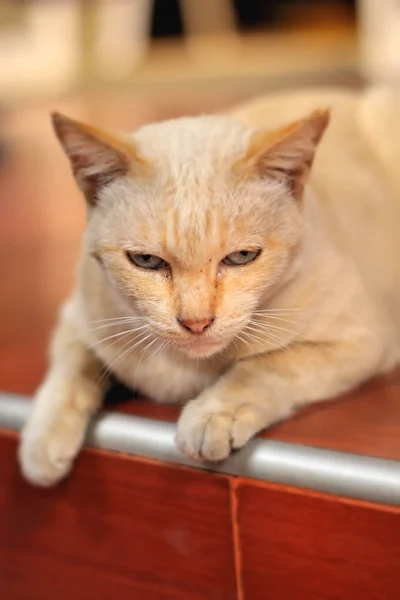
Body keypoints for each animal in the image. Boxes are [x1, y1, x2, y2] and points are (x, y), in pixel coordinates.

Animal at [18, 85, 400, 488]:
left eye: (242, 257)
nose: (196, 322)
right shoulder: (78, 318)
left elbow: (266, 365)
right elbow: (71, 369)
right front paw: (41, 440)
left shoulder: (361, 341)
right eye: (146, 261)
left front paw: (213, 414)